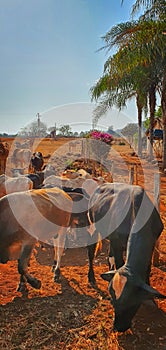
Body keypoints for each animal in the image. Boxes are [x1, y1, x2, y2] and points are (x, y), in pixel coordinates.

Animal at [87, 182, 165, 332]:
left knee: (109, 255)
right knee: (90, 251)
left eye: (132, 302)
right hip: (93, 227)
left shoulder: (152, 243)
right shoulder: (116, 242)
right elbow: (119, 262)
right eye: (112, 300)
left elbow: (147, 269)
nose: (119, 327)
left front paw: (150, 300)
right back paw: (91, 277)